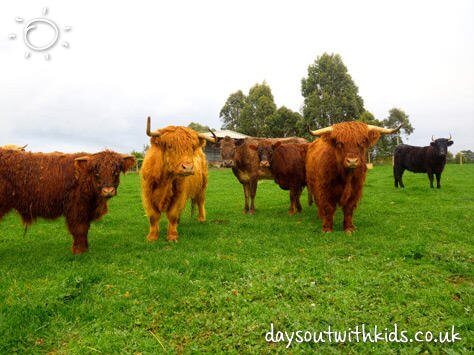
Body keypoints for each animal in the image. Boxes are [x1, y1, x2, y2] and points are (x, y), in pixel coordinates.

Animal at [0, 149, 135, 254]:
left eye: (116, 171)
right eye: (96, 172)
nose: (108, 190)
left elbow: (85, 229)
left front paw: (86, 248)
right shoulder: (76, 208)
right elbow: (79, 229)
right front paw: (79, 251)